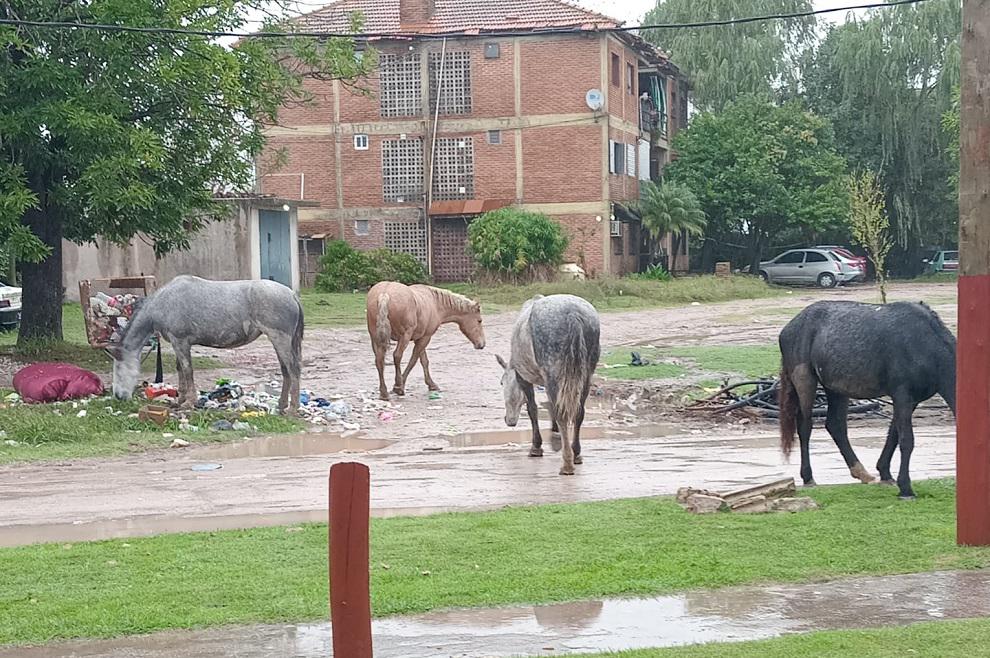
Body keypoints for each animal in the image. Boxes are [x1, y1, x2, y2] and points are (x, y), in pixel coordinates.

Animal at [109, 275, 304, 414]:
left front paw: (189, 402)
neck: (164, 303)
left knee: (293, 369)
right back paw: (282, 405)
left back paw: (292, 408)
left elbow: (187, 370)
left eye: (118, 369)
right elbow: (180, 370)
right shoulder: (178, 343)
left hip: (280, 339)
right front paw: (180, 400)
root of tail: (291, 294)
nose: (118, 396)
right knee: (286, 371)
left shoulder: (180, 342)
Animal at [497, 294, 601, 475]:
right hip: (585, 376)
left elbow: (533, 409)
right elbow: (551, 404)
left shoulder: (524, 379)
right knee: (578, 413)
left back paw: (567, 464)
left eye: (502, 382)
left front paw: (536, 446)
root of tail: (572, 314)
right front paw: (555, 435)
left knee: (562, 414)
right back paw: (576, 453)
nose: (509, 420)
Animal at [778, 300, 956, 499]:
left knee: (836, 426)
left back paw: (862, 473)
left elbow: (893, 434)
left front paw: (885, 473)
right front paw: (906, 489)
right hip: (805, 381)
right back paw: (808, 477)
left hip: (836, 389)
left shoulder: (911, 400)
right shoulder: (902, 395)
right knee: (805, 426)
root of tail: (788, 328)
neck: (926, 345)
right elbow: (906, 440)